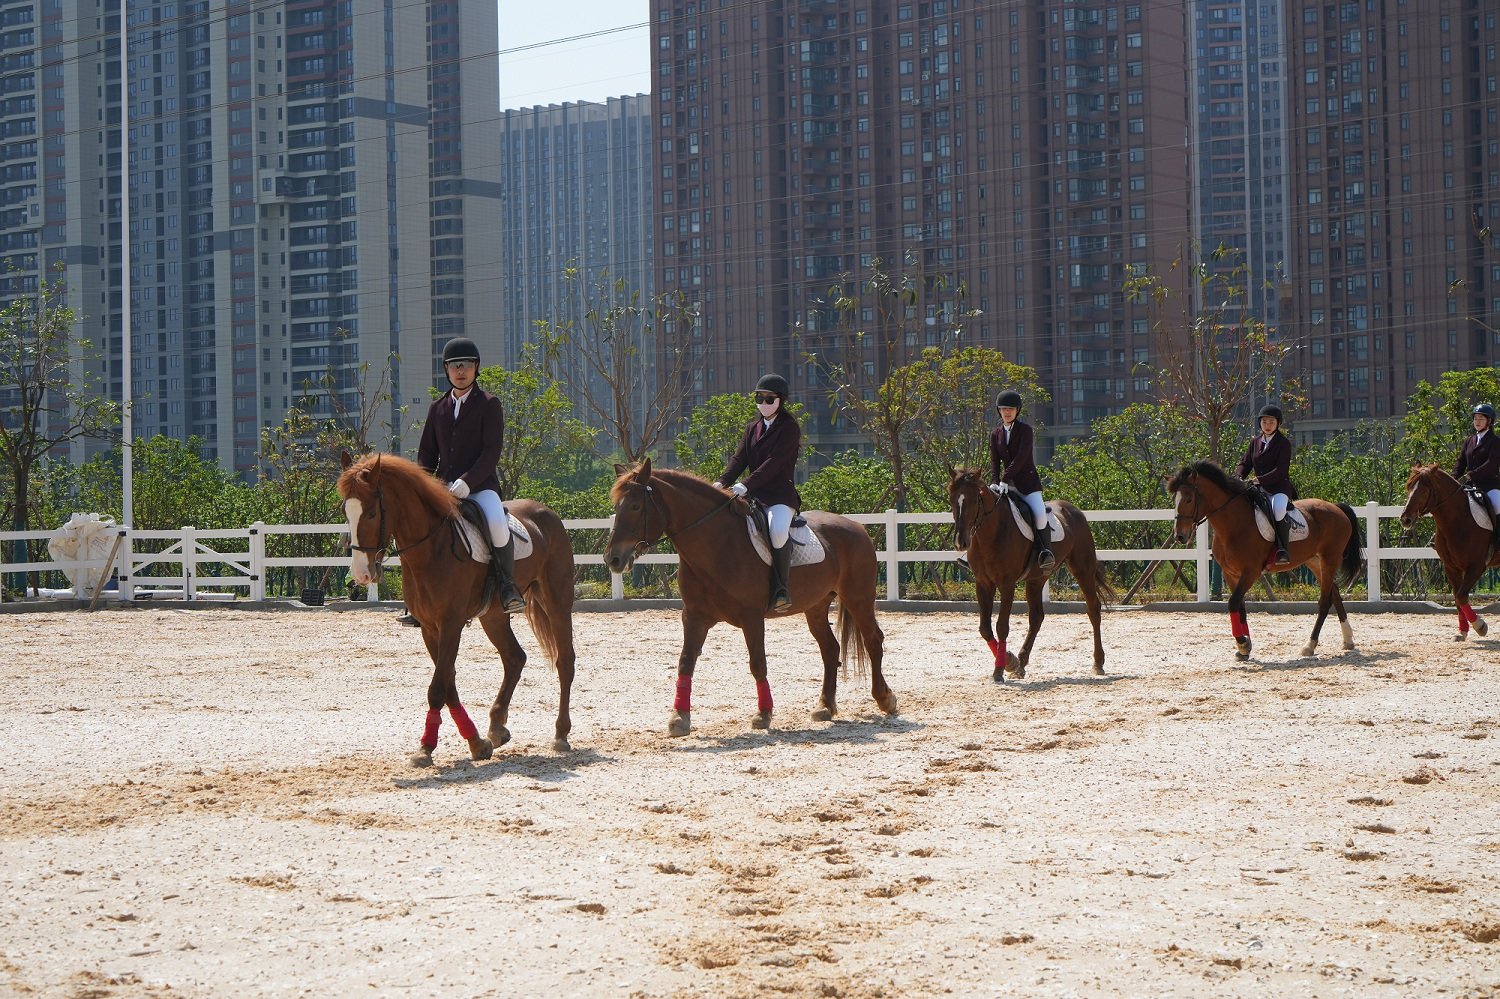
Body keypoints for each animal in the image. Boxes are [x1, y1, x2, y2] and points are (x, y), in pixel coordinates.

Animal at [337, 450, 576, 762]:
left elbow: (438, 687)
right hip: (493, 616)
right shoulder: (429, 628)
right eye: (346, 513)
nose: (362, 575)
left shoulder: (451, 624)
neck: (430, 550)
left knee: (565, 661)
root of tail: (546, 512)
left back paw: (561, 734)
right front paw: (476, 742)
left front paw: (426, 748)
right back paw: (497, 727)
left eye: (372, 514)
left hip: (557, 601)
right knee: (515, 658)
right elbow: (447, 682)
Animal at [603, 456, 894, 732]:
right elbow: (685, 662)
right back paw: (825, 706)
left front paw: (763, 714)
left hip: (858, 598)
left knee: (873, 640)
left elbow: (757, 663)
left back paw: (885, 699)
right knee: (830, 649)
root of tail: (856, 526)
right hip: (816, 606)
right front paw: (679, 717)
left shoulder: (751, 617)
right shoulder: (694, 617)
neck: (716, 543)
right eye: (616, 508)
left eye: (636, 506)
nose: (613, 558)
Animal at [948, 465, 1116, 678]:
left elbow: (1001, 627)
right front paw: (1009, 662)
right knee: (1036, 617)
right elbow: (985, 629)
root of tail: (1074, 510)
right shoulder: (983, 583)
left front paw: (1000, 669)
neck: (991, 532)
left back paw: (1098, 662)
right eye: (952, 499)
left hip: (1082, 568)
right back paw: (1021, 663)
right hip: (1037, 578)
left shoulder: (1007, 583)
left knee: (1093, 609)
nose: (960, 543)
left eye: (973, 499)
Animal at [1164, 462, 1368, 660]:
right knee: (1335, 594)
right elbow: (1240, 606)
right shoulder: (1230, 573)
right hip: (1315, 562)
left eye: (1189, 499)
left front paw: (1242, 643)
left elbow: (1233, 603)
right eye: (1174, 500)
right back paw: (1348, 640)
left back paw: (1309, 646)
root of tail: (1336, 507)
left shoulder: (1251, 572)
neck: (1233, 525)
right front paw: (1245, 648)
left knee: (1325, 602)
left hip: (1330, 559)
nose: (1179, 536)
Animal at [1398, 462, 1494, 639]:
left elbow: (1462, 597)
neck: (1458, 521)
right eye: (1408, 487)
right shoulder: (1451, 567)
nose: (1405, 519)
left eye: (1424, 491)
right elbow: (1457, 598)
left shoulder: (1477, 566)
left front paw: (1480, 626)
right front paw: (1462, 631)